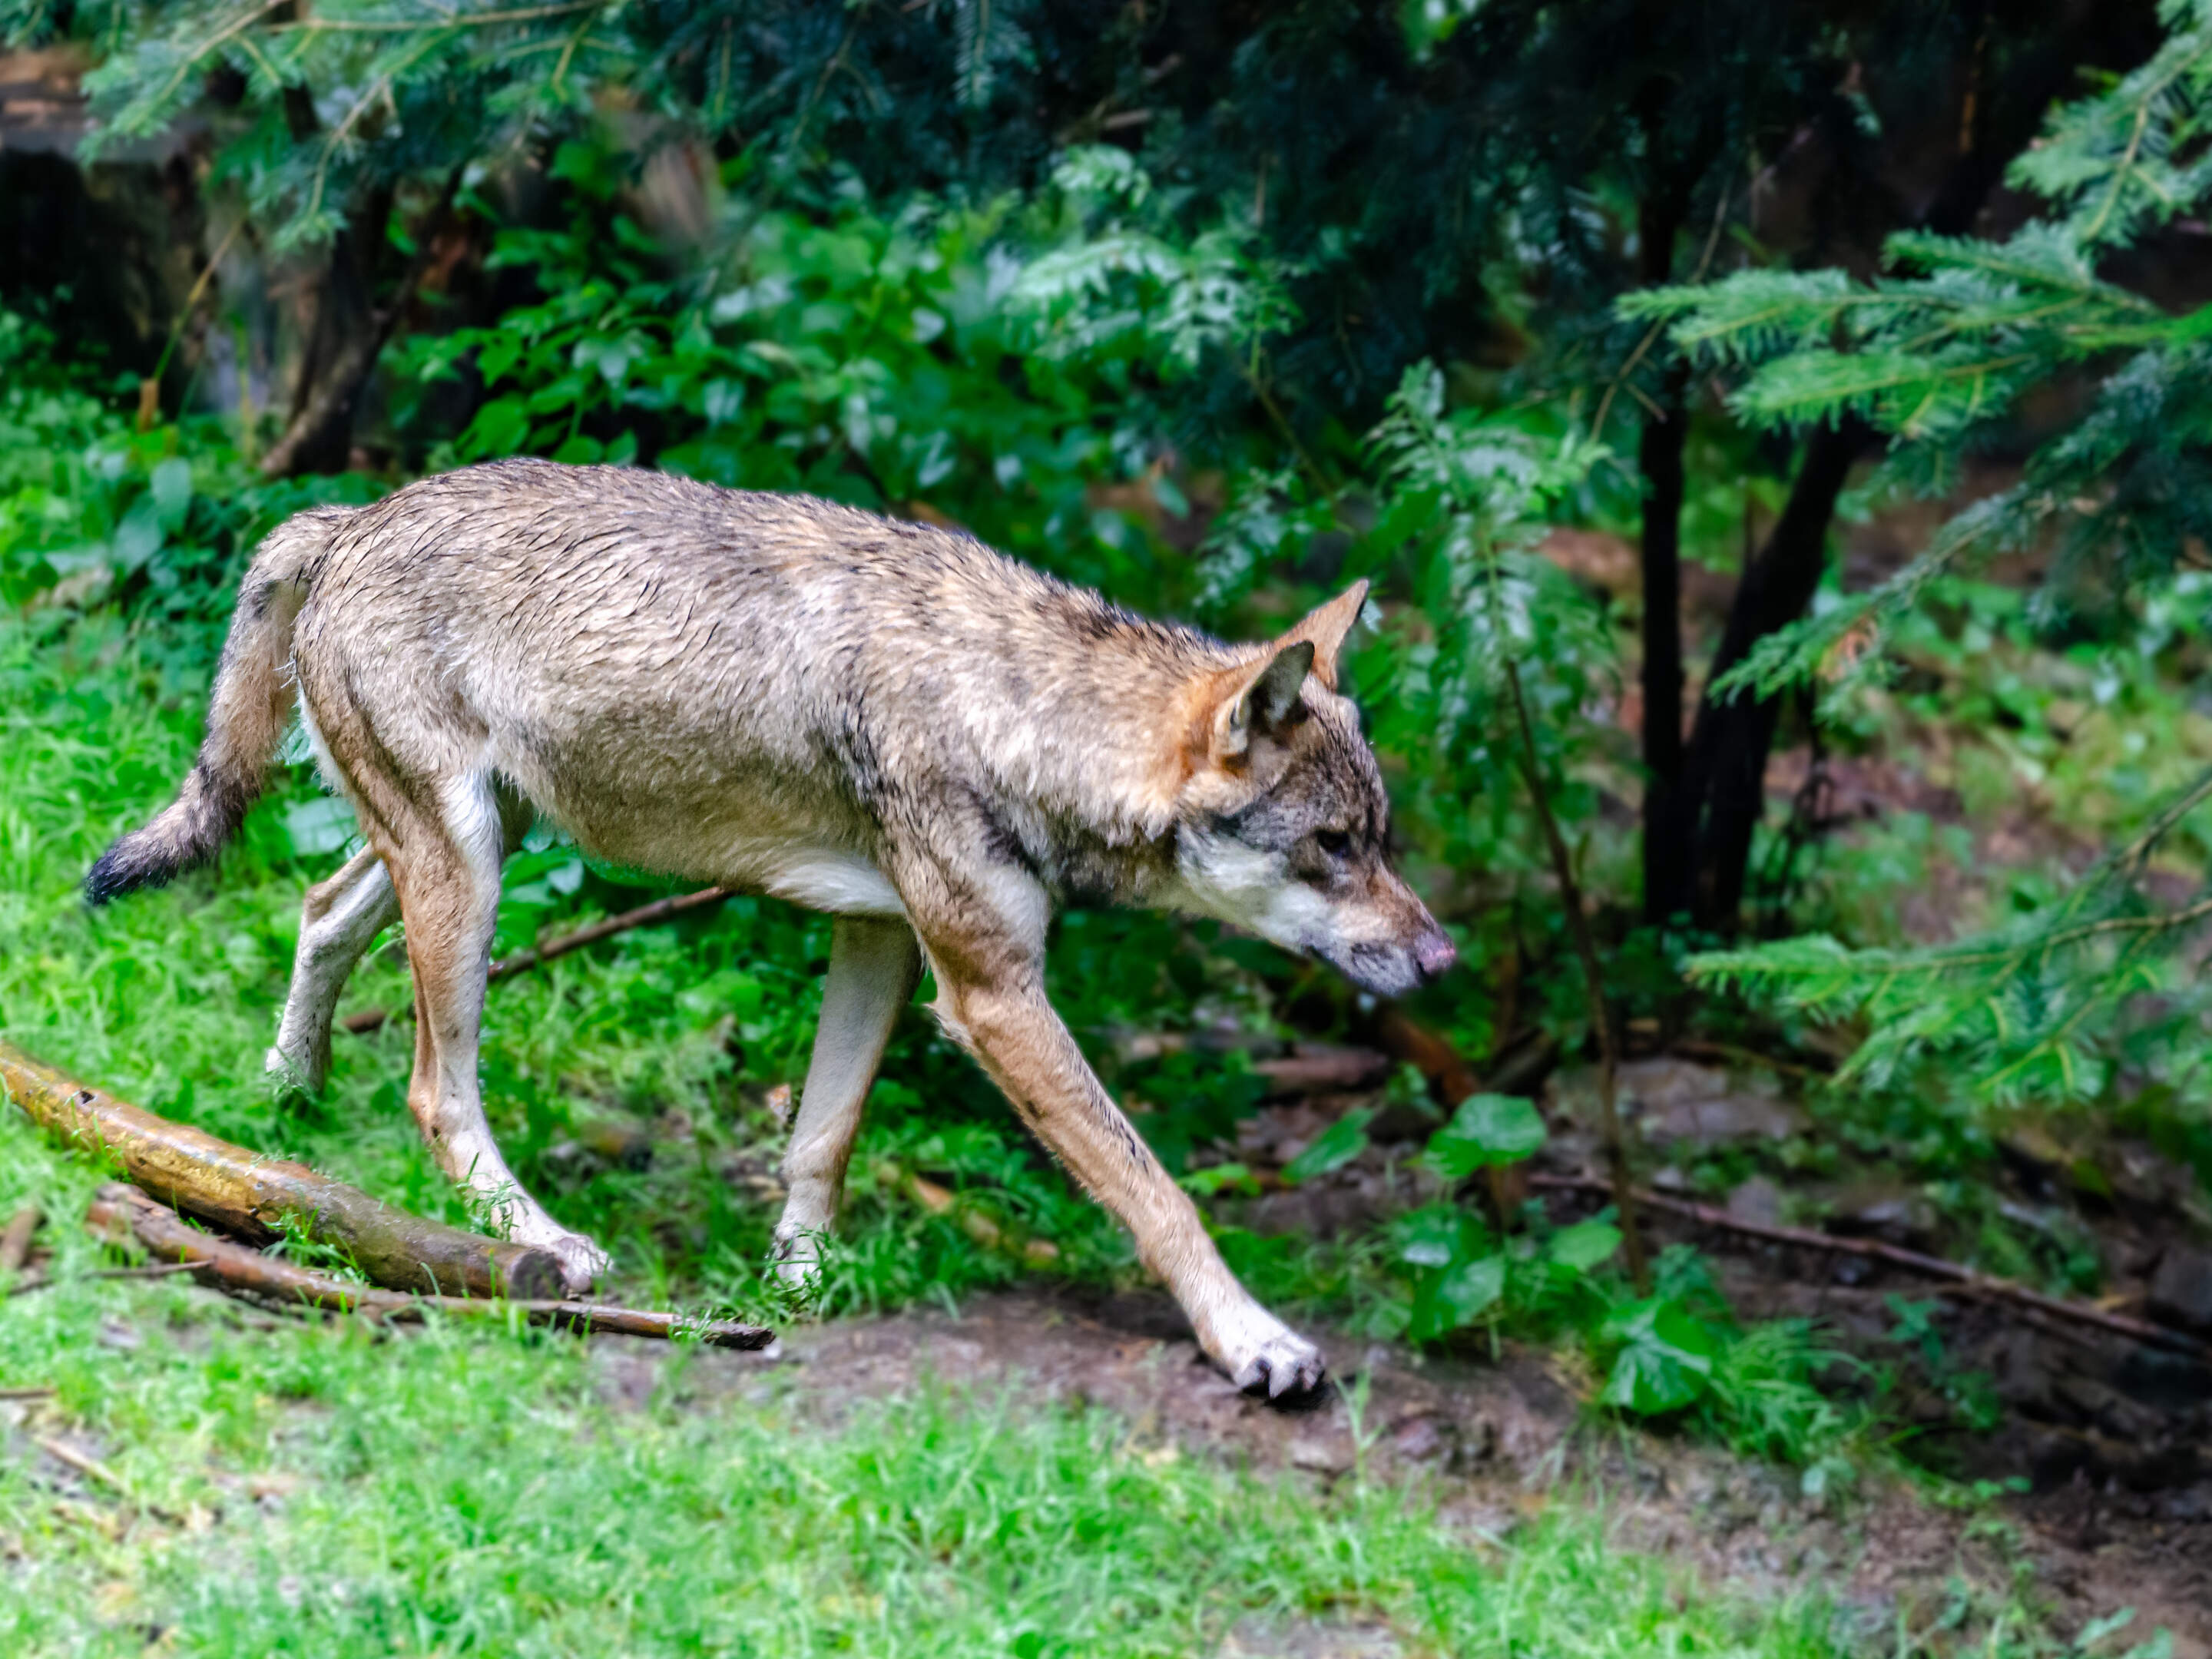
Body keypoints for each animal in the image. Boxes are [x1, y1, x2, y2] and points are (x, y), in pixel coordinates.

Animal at [87, 459, 1455, 1397]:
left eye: (1383, 840)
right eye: (1335, 848)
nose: (1442, 959)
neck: (1017, 711)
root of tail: (350, 518)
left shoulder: (885, 942)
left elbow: (823, 1138)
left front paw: (800, 1287)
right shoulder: (994, 998)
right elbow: (1155, 1191)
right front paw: (1253, 1340)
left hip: (473, 846)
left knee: (319, 916)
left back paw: (283, 1111)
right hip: (466, 877)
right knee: (435, 1086)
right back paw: (537, 1242)